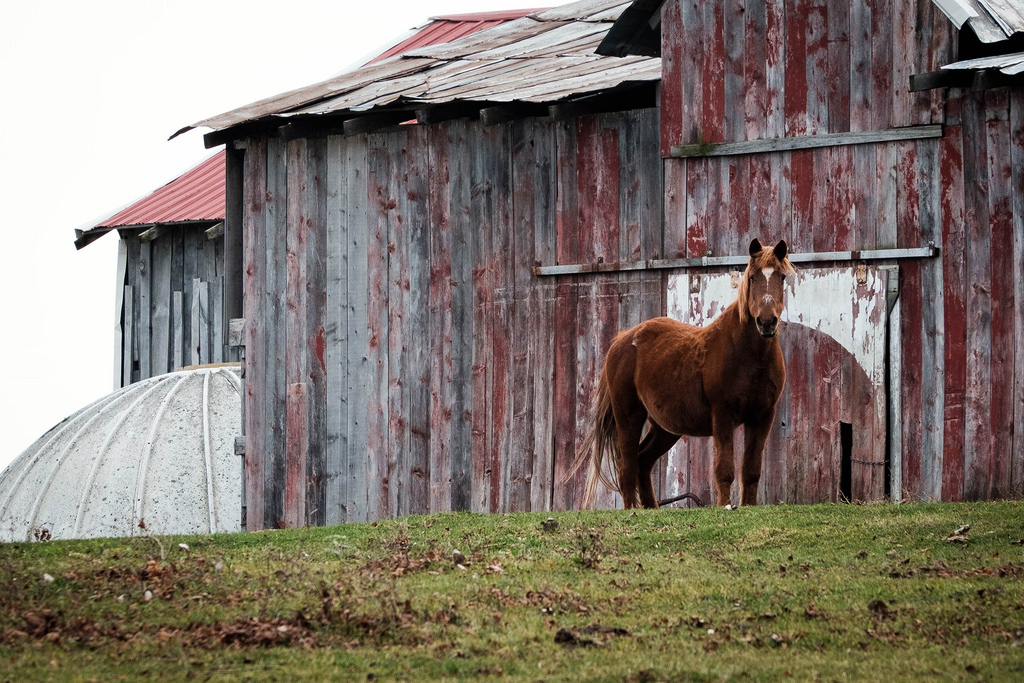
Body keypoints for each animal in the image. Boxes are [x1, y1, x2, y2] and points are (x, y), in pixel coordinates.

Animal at [573, 239, 794, 507]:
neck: (749, 356)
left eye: (781, 277)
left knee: (642, 461)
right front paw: (724, 507)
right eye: (752, 277)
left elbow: (751, 471)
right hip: (628, 416)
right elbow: (724, 469)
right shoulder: (722, 415)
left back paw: (651, 509)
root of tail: (621, 340)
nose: (766, 322)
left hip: (665, 428)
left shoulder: (762, 416)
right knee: (627, 467)